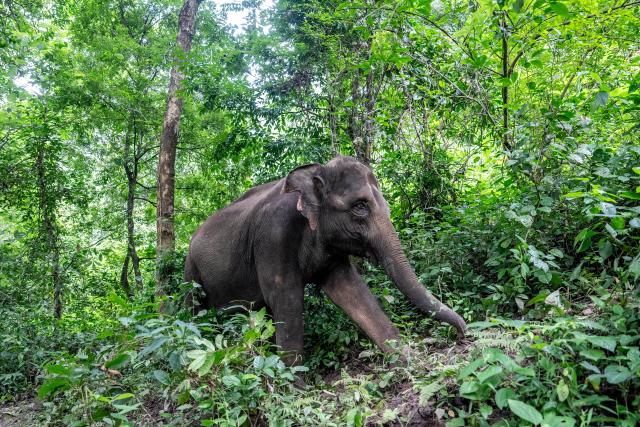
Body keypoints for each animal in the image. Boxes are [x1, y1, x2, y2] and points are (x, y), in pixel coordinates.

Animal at [184, 156, 466, 364]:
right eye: (360, 206)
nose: (463, 334)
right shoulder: (273, 236)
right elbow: (285, 297)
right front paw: (294, 390)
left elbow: (350, 290)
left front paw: (410, 362)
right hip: (190, 273)